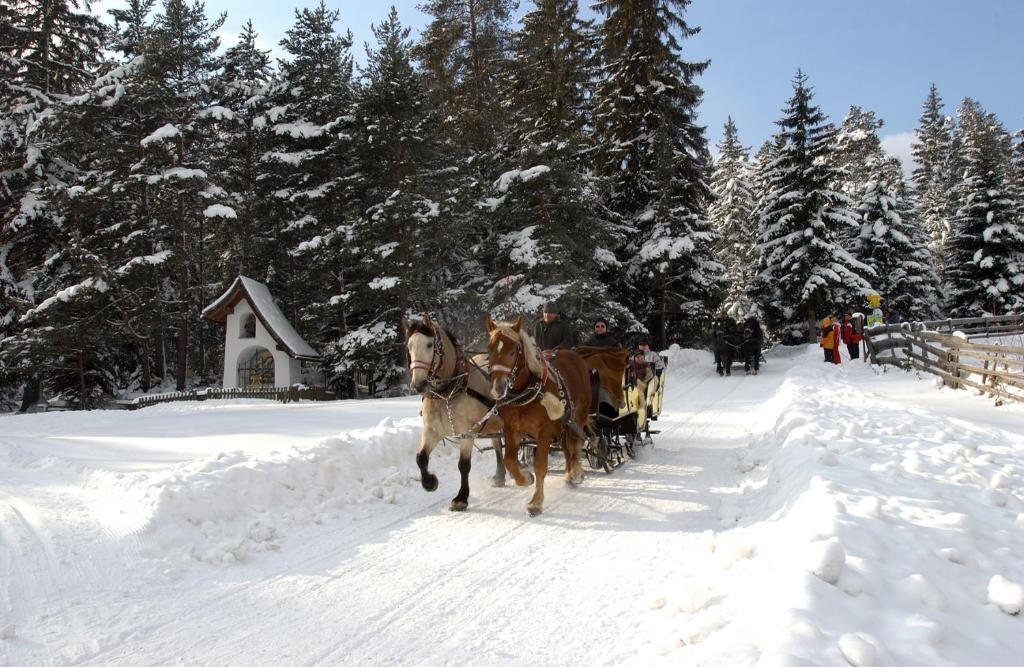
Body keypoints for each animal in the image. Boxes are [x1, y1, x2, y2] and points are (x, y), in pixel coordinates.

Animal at [405, 313, 505, 512]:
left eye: (430, 344)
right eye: (409, 346)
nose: (418, 384)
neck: (447, 392)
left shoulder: (468, 431)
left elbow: (464, 465)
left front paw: (461, 498)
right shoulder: (432, 430)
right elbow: (421, 458)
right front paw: (430, 482)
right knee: (497, 443)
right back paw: (500, 475)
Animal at [487, 317, 593, 516]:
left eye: (513, 351)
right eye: (489, 350)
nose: (498, 388)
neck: (525, 393)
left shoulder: (544, 430)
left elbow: (540, 465)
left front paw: (536, 502)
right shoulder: (512, 428)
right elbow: (509, 460)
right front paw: (525, 478)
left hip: (578, 416)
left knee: (576, 443)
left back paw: (575, 473)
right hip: (561, 424)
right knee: (566, 447)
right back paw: (569, 475)